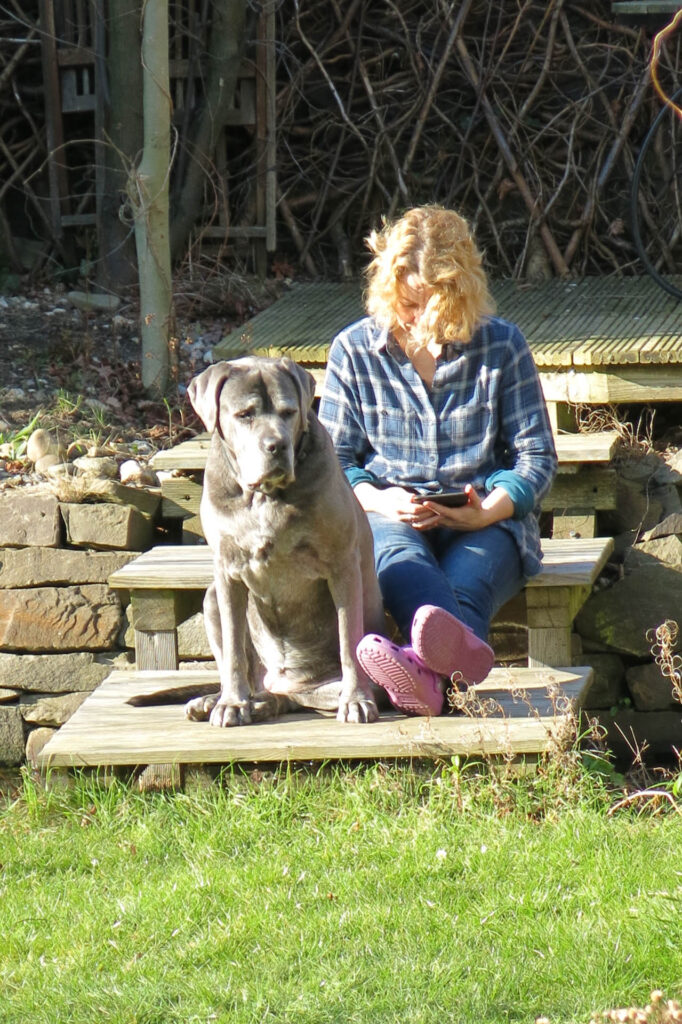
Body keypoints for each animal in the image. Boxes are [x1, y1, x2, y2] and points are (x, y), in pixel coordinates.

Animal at [184, 356, 385, 727]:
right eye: (245, 414)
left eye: (289, 412)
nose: (276, 445)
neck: (263, 496)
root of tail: (278, 680)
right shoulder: (227, 572)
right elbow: (234, 650)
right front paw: (231, 703)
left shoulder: (342, 565)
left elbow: (349, 640)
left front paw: (356, 700)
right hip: (211, 597)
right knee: (251, 675)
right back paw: (220, 700)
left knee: (295, 698)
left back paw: (267, 702)